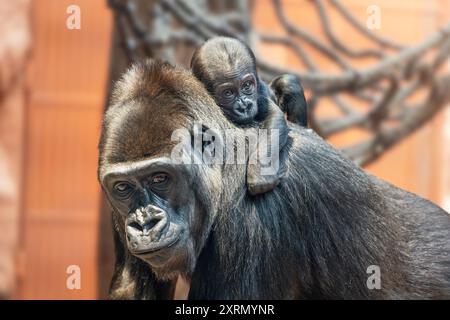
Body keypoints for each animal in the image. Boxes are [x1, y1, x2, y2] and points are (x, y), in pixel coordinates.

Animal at [192, 36, 308, 194]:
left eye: (247, 85)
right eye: (228, 93)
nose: (244, 105)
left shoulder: (259, 96)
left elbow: (274, 118)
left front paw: (260, 172)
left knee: (288, 82)